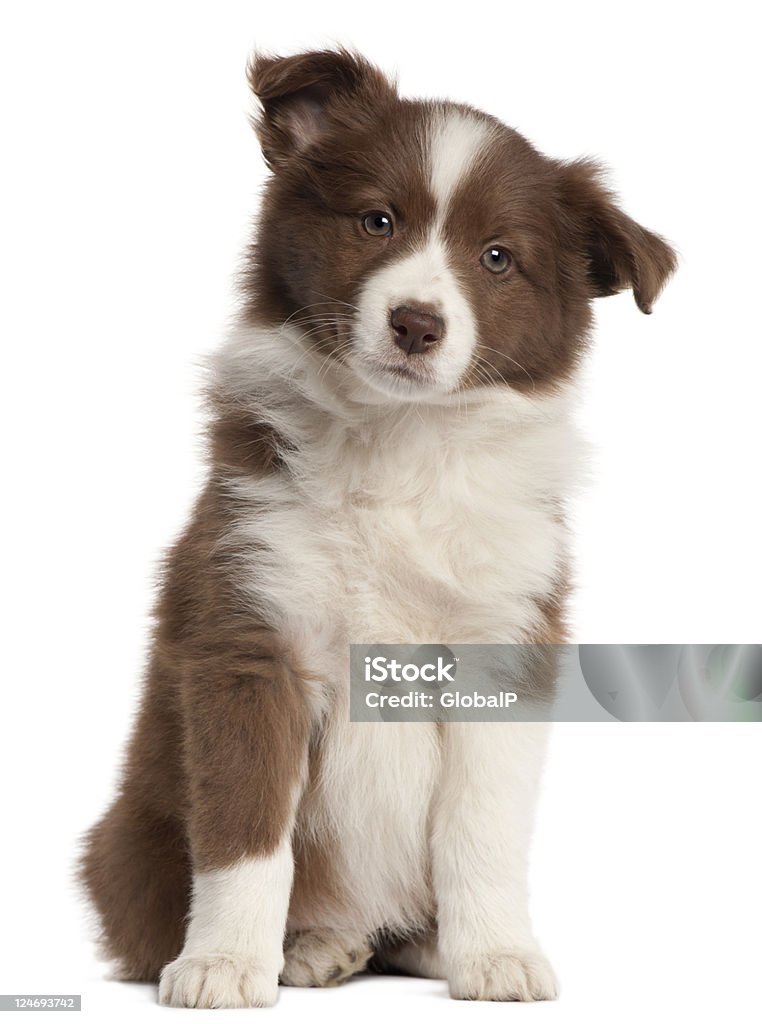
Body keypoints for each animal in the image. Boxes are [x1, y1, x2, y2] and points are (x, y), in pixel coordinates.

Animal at [80, 49, 675, 1007]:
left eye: (498, 258)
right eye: (376, 220)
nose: (417, 323)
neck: (402, 444)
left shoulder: (504, 643)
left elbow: (480, 825)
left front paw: (495, 953)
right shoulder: (251, 636)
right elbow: (246, 830)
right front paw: (223, 963)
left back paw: (416, 943)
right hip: (125, 839)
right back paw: (311, 946)